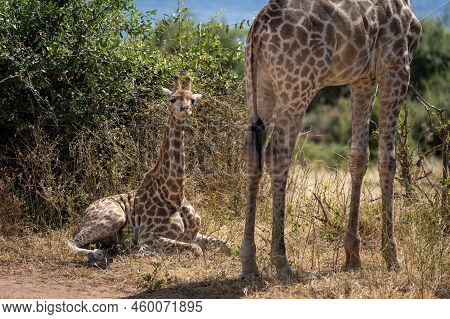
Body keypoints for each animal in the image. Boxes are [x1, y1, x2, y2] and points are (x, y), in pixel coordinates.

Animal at [69, 75, 232, 264]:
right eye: (172, 99)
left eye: (192, 100)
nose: (185, 110)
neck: (175, 195)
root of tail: (84, 213)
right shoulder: (148, 236)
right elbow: (196, 250)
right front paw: (141, 252)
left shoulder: (192, 235)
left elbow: (227, 246)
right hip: (116, 217)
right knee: (72, 241)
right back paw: (98, 254)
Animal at [243, 0, 422, 280]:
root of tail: (259, 29)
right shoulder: (396, 64)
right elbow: (387, 159)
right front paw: (392, 257)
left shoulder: (363, 76)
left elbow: (359, 156)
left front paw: (353, 254)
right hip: (297, 85)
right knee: (278, 153)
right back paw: (282, 261)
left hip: (258, 84)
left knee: (254, 154)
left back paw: (249, 263)